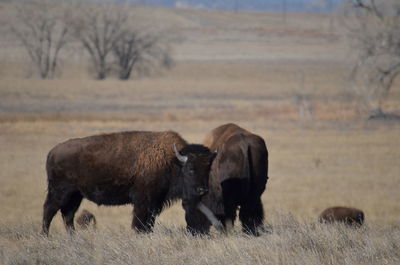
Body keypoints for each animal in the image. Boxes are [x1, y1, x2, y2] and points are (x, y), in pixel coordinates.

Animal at [42, 129, 220, 234]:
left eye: (208, 168)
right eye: (190, 169)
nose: (202, 190)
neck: (172, 161)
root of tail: (52, 152)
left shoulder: (155, 203)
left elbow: (149, 223)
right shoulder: (143, 201)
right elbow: (139, 222)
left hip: (76, 195)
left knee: (68, 214)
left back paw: (73, 236)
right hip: (60, 192)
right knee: (49, 210)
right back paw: (45, 235)